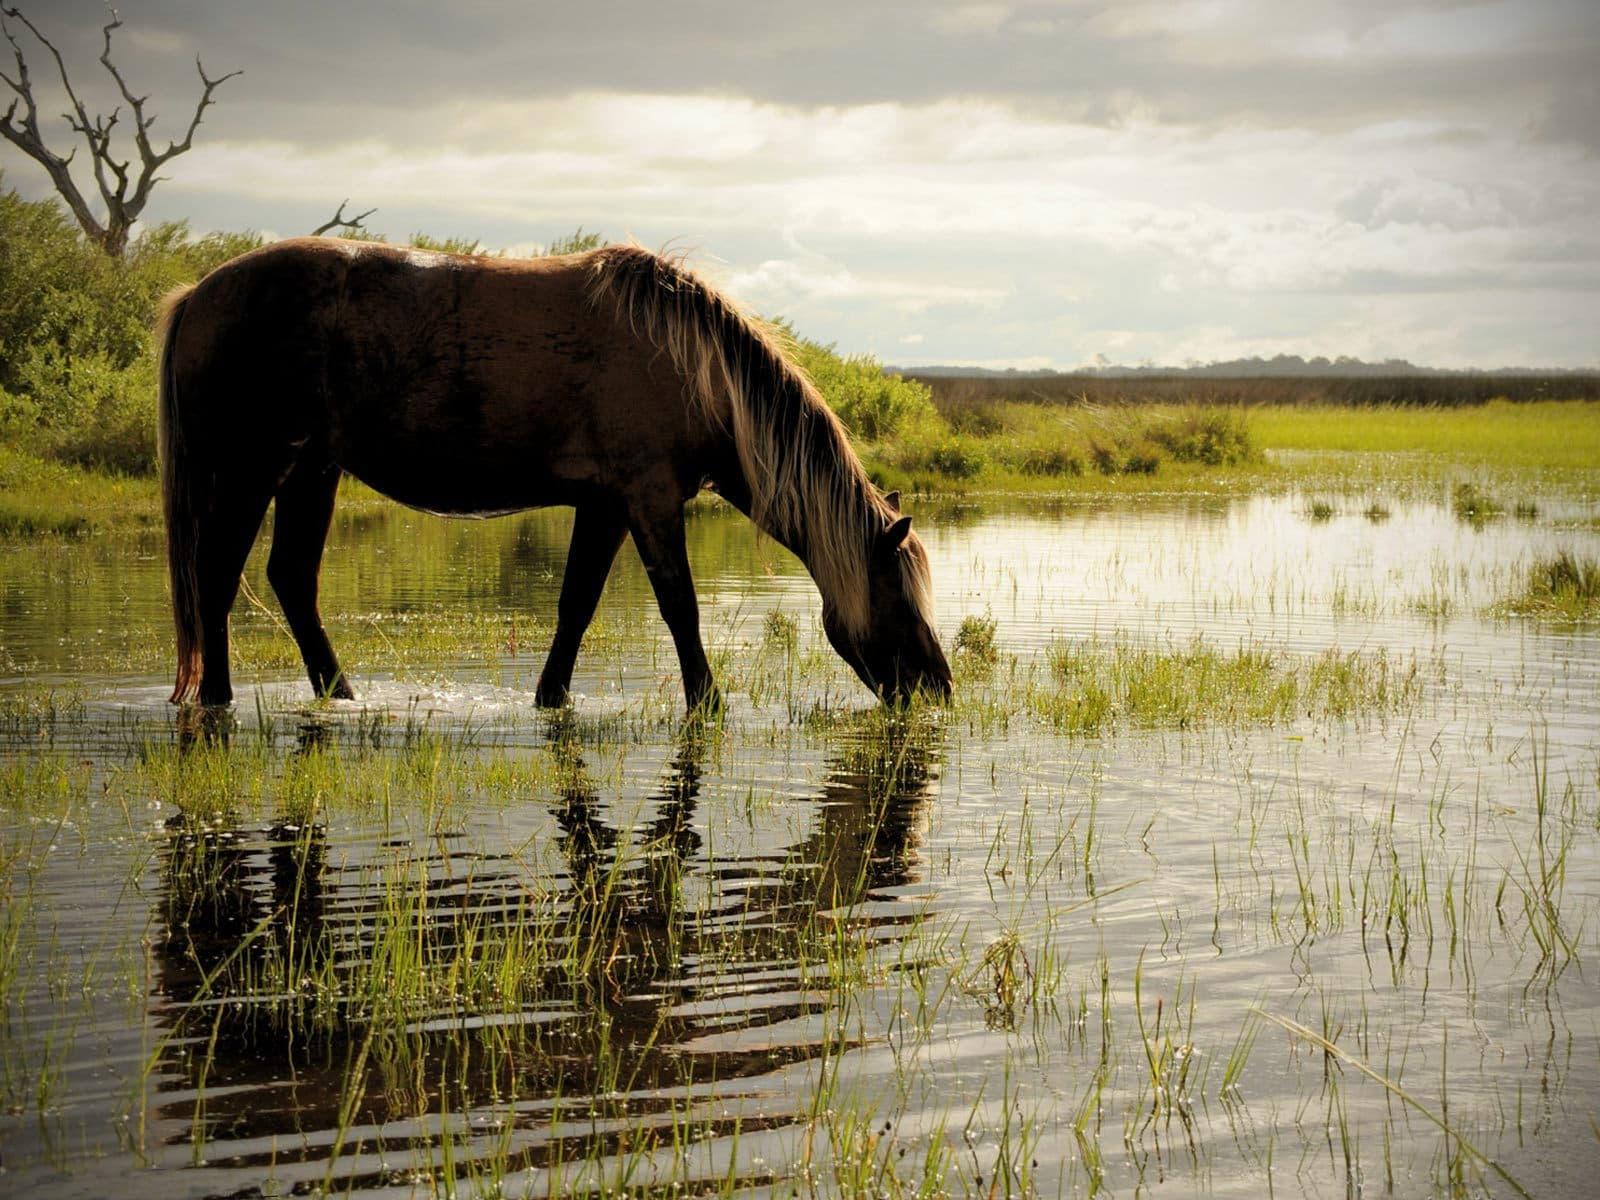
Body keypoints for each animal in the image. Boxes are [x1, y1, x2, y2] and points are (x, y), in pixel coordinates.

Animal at [152, 241, 947, 713]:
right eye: (898, 597)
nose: (938, 687)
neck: (692, 367)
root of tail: (197, 294)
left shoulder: (605, 506)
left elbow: (576, 606)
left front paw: (552, 697)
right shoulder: (650, 500)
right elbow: (680, 608)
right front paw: (708, 703)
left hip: (311, 470)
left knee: (289, 578)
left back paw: (340, 694)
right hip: (254, 468)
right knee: (218, 575)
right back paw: (218, 698)